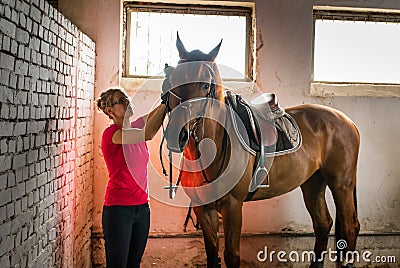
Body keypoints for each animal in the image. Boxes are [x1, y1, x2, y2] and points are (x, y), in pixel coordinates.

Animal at [162, 34, 360, 266]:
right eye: (173, 79)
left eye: (204, 86)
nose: (177, 134)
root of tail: (347, 120)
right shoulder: (204, 209)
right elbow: (212, 255)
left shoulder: (233, 206)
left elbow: (232, 256)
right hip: (313, 183)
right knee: (323, 223)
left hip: (341, 184)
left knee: (349, 228)